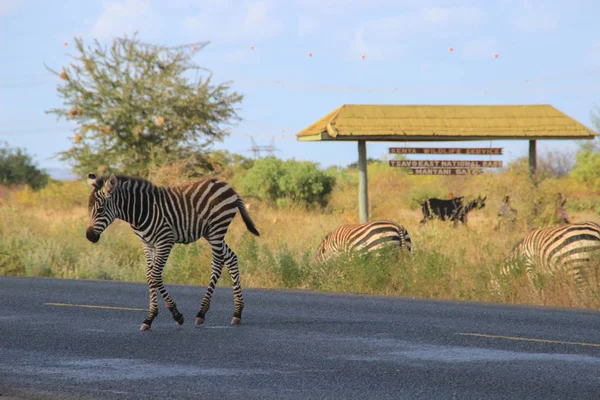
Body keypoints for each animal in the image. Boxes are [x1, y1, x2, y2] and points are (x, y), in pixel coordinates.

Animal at [85, 173, 258, 332]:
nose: (89, 236)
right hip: (210, 233)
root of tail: (228, 186)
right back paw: (237, 312)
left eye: (100, 209)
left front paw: (172, 315)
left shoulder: (165, 242)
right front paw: (152, 317)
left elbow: (155, 276)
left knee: (217, 263)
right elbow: (150, 276)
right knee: (231, 257)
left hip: (217, 229)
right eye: (89, 209)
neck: (142, 211)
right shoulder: (148, 244)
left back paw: (202, 312)